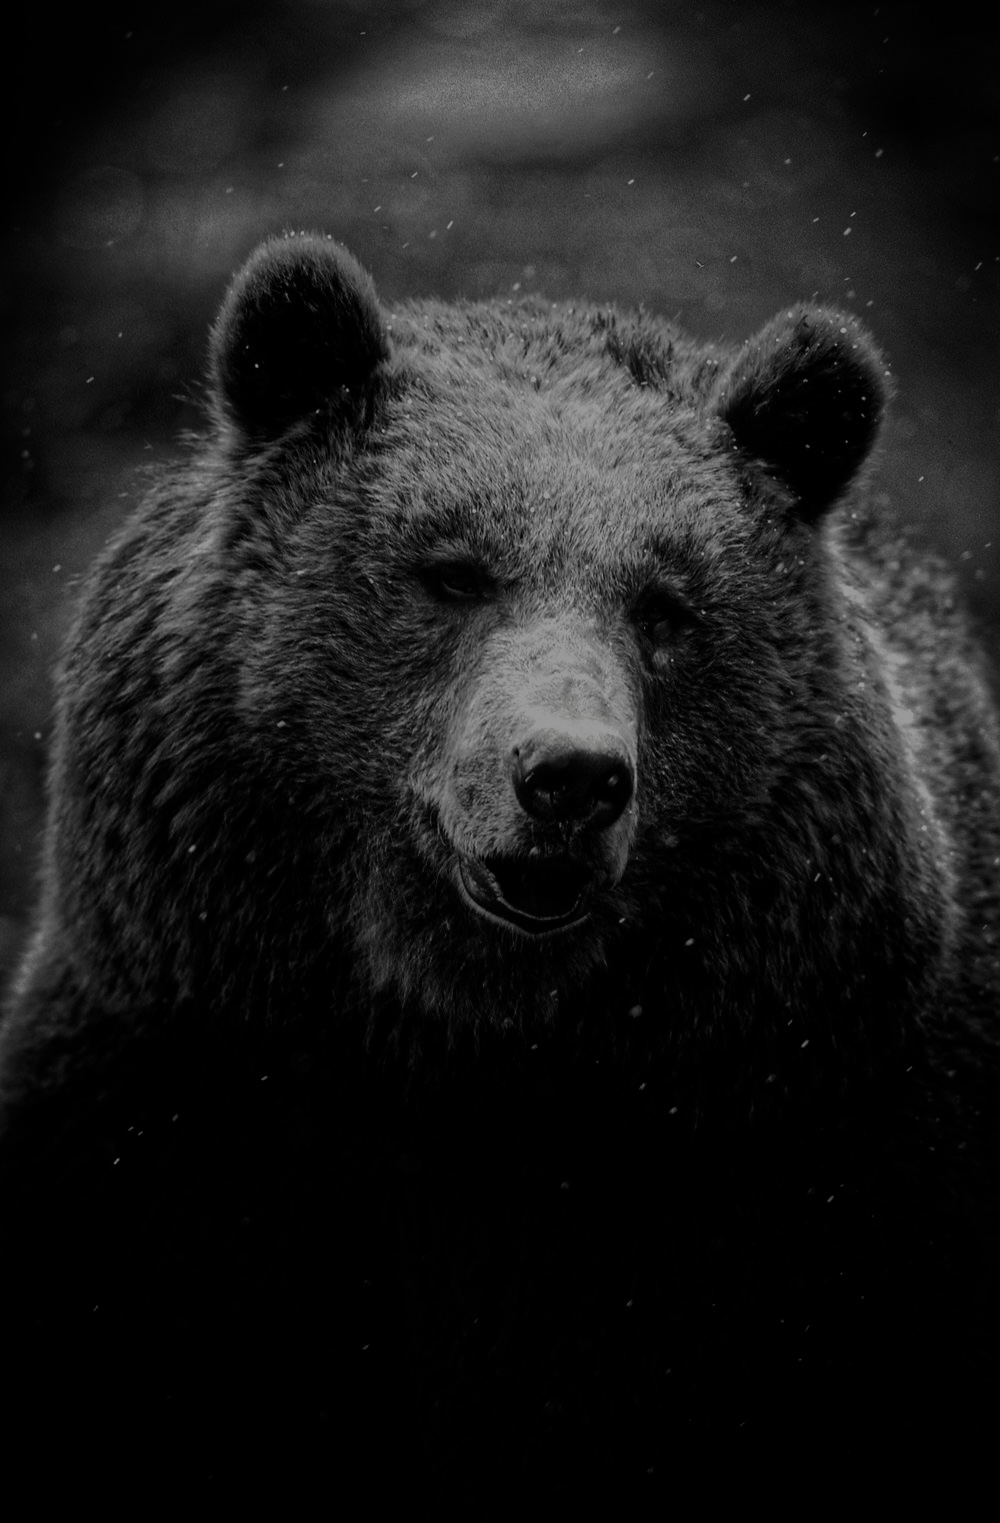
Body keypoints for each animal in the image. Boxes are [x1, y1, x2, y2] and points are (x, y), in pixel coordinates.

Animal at [1, 232, 998, 1506]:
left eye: (666, 606)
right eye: (452, 569)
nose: (569, 776)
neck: (471, 1046)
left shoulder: (815, 1145)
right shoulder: (182, 1099)